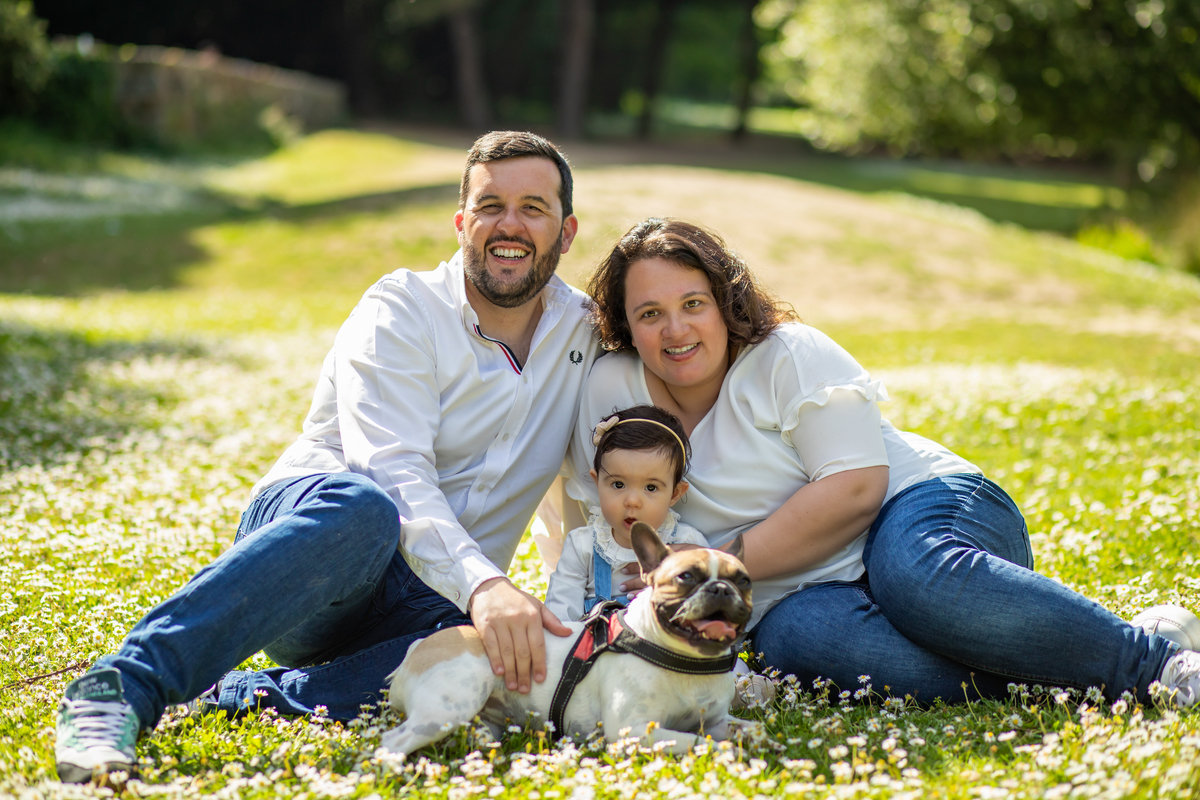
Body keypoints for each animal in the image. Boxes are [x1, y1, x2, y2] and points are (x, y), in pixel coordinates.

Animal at [379, 522, 756, 756]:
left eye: (745, 581)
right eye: (686, 577)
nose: (721, 588)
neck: (688, 661)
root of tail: (419, 647)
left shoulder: (718, 720)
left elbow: (748, 729)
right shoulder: (632, 729)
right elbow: (698, 741)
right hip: (447, 706)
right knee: (391, 741)